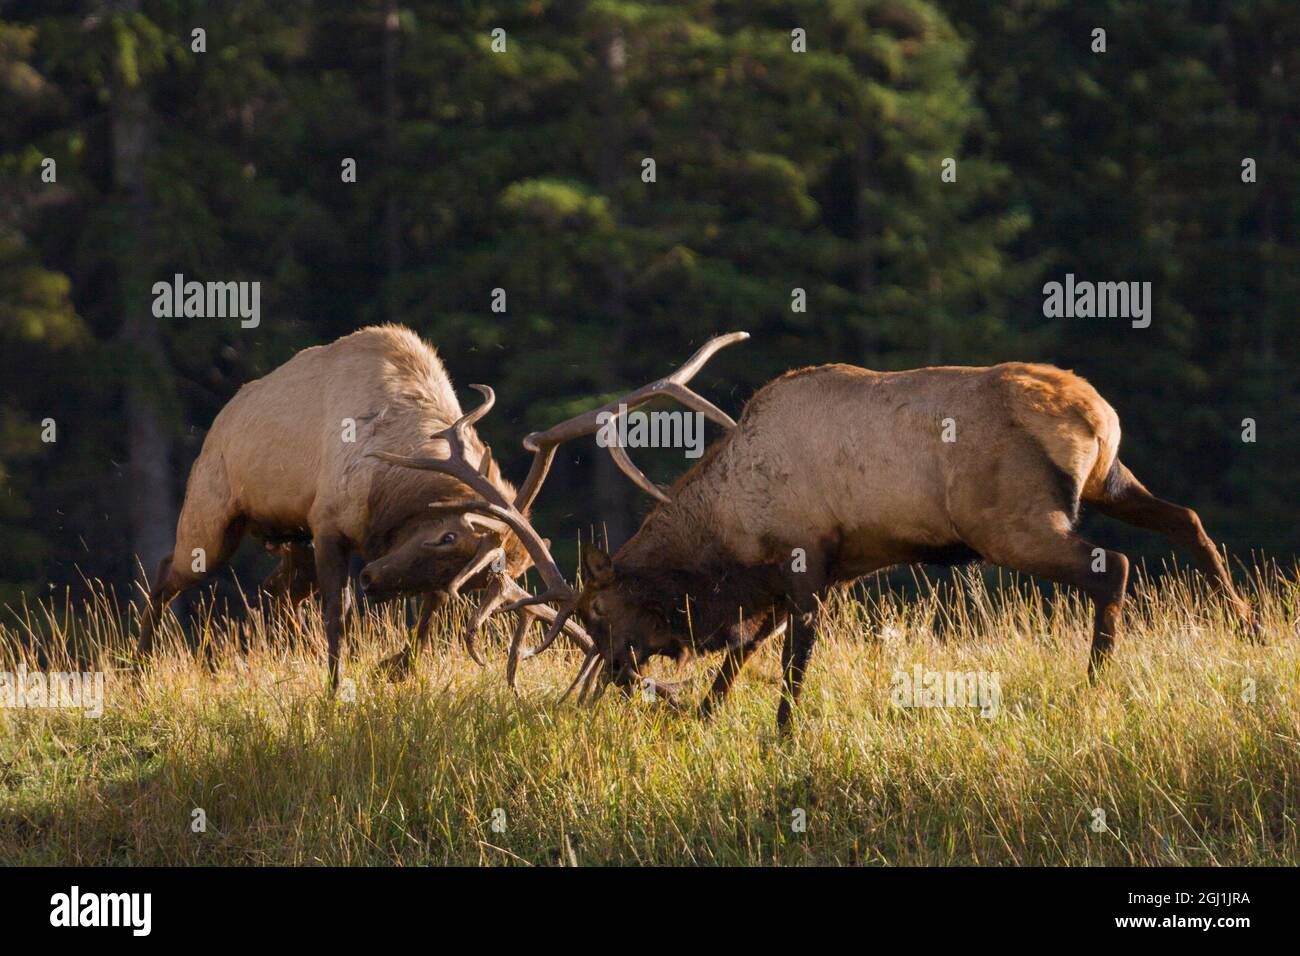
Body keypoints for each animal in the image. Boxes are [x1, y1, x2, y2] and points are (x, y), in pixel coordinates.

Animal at [135, 324, 589, 689]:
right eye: (446, 535)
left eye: (465, 579)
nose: (371, 578)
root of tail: (219, 421)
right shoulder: (327, 524)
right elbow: (339, 615)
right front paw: (334, 691)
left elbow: (426, 617)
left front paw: (395, 668)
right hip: (213, 515)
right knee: (166, 573)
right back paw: (138, 673)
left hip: (290, 539)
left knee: (275, 591)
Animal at [384, 333, 1257, 731]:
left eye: (600, 611)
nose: (622, 675)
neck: (729, 528)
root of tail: (1094, 413)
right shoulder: (798, 575)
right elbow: (745, 649)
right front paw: (705, 717)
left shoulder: (805, 560)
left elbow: (790, 656)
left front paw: (780, 734)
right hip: (1110, 477)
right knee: (1187, 519)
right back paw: (1244, 625)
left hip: (1017, 522)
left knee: (1114, 568)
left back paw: (1096, 683)